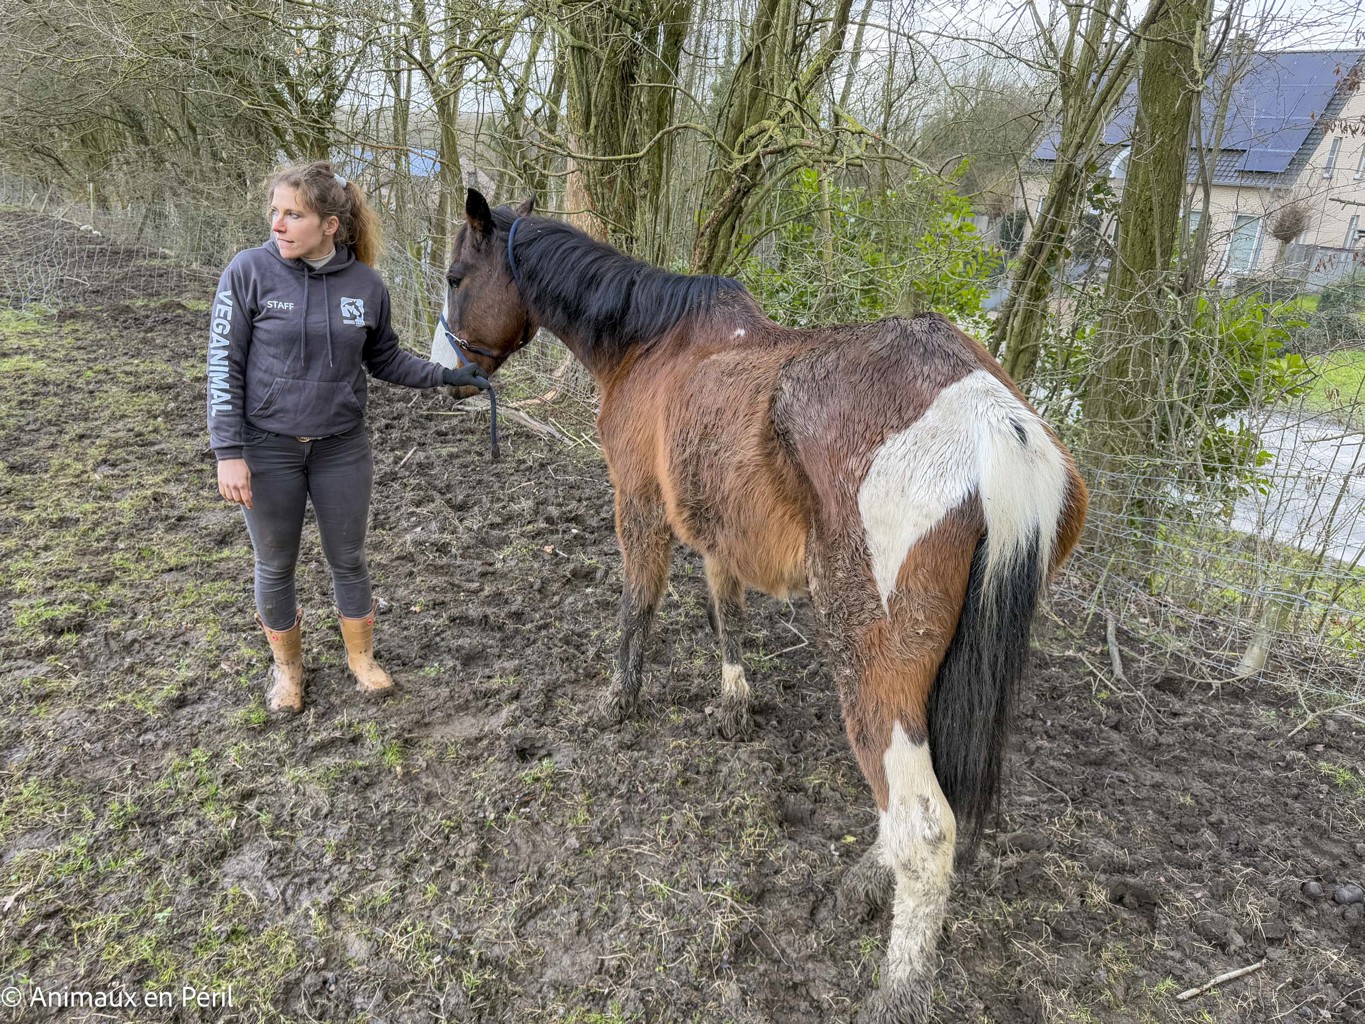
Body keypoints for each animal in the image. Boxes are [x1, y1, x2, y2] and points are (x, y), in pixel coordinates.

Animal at [438, 189, 1088, 1022]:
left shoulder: (638, 507)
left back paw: (896, 987)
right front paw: (732, 702)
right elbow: (727, 612)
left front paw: (618, 699)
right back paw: (862, 887)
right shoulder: (717, 531)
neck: (654, 343)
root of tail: (990, 429)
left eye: (458, 276)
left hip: (867, 661)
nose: (451, 375)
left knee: (923, 826)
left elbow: (637, 604)